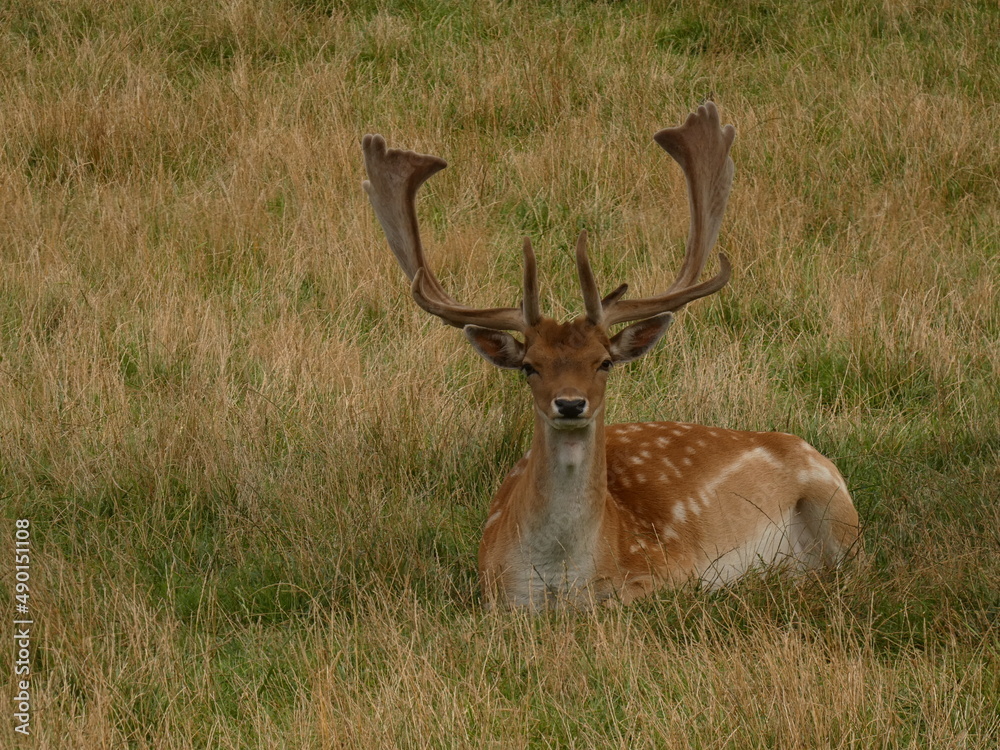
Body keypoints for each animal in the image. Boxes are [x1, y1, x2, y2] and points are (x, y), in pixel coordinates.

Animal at [362, 102, 860, 609]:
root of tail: (802, 444)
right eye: (529, 367)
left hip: (837, 509)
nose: (570, 403)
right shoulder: (493, 592)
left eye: (603, 362)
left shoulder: (668, 573)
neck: (561, 582)